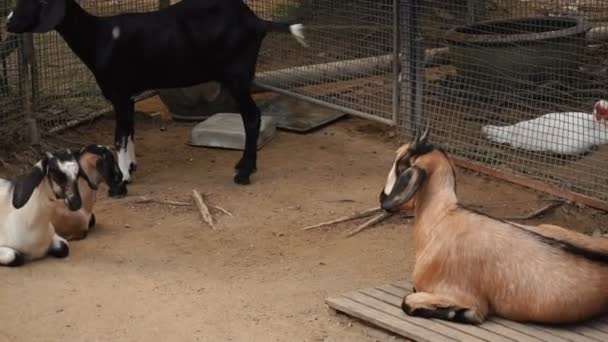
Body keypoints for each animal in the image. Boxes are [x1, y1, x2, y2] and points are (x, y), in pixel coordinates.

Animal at [7, 0, 306, 191]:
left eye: (36, 0)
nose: (9, 22)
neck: (99, 38)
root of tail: (258, 22)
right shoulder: (128, 97)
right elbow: (130, 131)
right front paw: (131, 167)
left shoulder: (119, 94)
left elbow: (119, 137)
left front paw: (122, 180)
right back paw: (242, 165)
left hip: (236, 76)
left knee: (252, 117)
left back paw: (244, 173)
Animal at [380, 127, 608, 324]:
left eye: (401, 165)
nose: (382, 198)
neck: (442, 218)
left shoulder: (463, 295)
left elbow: (408, 301)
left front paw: (460, 314)